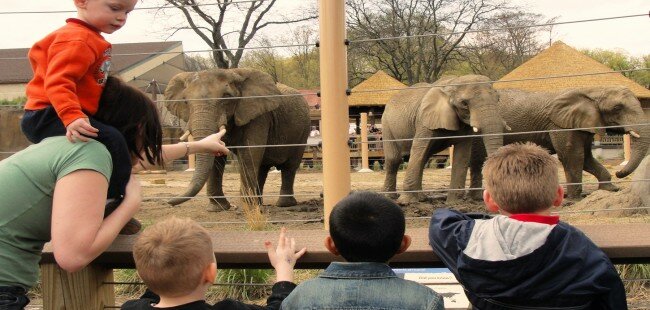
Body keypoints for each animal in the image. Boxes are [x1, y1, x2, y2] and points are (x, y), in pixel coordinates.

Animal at [165, 68, 312, 211]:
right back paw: (258, 203)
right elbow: (217, 155)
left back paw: (282, 204)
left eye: (226, 97)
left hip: (303, 131)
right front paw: (218, 208)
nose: (169, 202)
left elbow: (249, 152)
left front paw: (247, 207)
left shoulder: (258, 116)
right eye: (185, 101)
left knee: (289, 166)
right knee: (262, 167)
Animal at [382, 73, 504, 202]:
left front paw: (454, 202)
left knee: (423, 159)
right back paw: (390, 197)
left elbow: (462, 154)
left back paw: (421, 198)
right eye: (464, 104)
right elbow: (418, 148)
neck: (452, 83)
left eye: (498, 99)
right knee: (394, 159)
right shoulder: (424, 120)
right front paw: (406, 202)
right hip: (387, 125)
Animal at [468, 86, 644, 200]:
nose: (619, 173)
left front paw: (610, 189)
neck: (593, 90)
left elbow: (587, 158)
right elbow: (573, 156)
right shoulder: (560, 126)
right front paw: (574, 199)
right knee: (477, 159)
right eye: (617, 108)